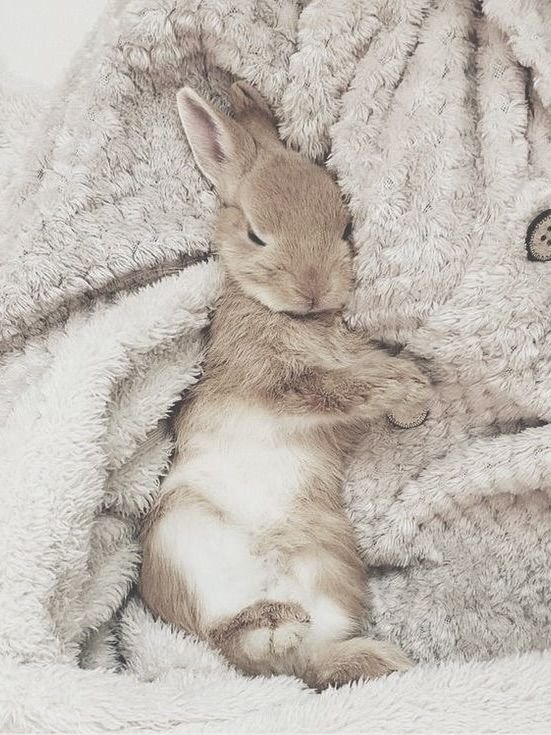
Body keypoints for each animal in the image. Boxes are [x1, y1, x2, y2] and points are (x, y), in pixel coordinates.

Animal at [138, 81, 431, 690]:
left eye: (345, 229)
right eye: (256, 235)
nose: (314, 288)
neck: (294, 317)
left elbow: (364, 369)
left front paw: (411, 398)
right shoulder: (277, 382)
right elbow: (340, 388)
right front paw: (409, 395)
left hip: (328, 566)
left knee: (303, 660)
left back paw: (376, 658)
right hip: (179, 542)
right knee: (233, 643)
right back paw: (275, 626)